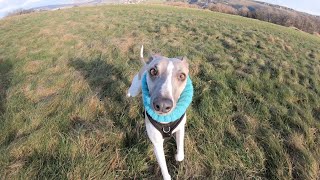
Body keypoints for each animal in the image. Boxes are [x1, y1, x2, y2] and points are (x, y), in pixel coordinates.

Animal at [127, 45, 192, 180]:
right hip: (135, 87)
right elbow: (163, 167)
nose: (162, 105)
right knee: (131, 91)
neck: (166, 121)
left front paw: (177, 156)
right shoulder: (157, 144)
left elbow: (181, 153)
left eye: (182, 76)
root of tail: (145, 64)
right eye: (153, 71)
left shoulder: (181, 128)